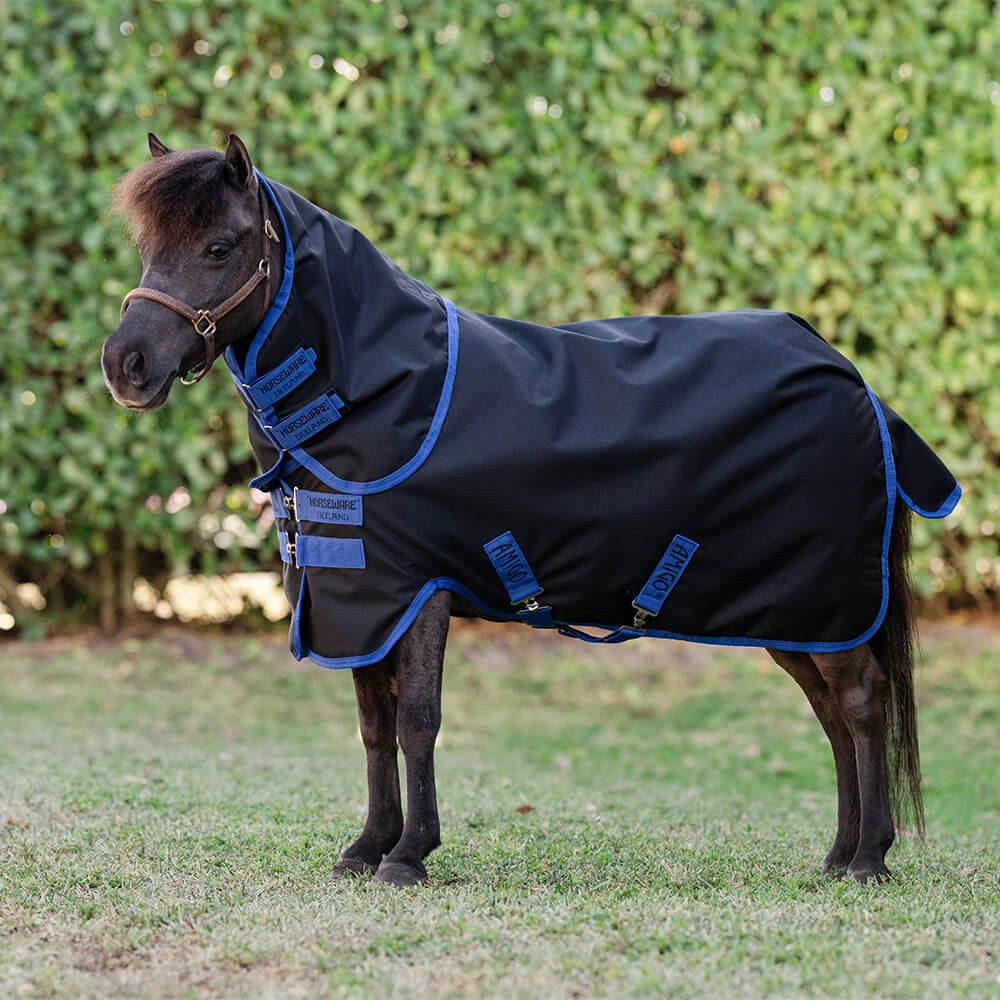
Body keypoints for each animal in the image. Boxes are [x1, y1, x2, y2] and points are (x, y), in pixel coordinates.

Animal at [102, 133, 960, 888]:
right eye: (147, 248)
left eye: (220, 246)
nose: (126, 366)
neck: (381, 392)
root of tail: (856, 384)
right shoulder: (360, 598)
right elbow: (374, 724)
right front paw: (365, 848)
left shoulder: (418, 591)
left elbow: (417, 719)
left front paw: (408, 856)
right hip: (795, 615)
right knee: (831, 713)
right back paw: (838, 855)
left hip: (823, 602)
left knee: (861, 701)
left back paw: (870, 859)